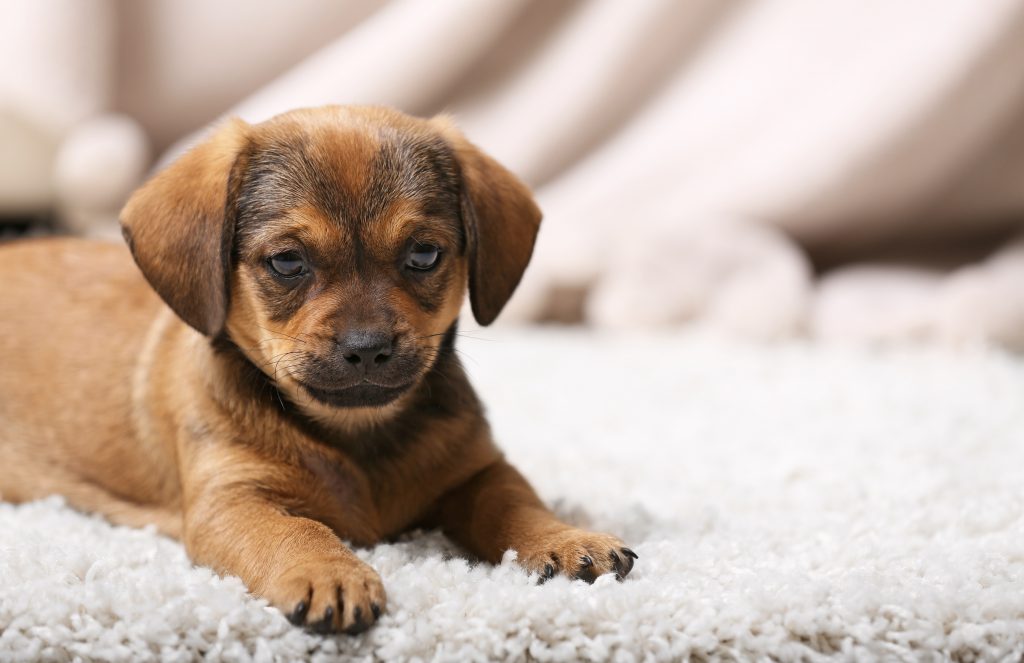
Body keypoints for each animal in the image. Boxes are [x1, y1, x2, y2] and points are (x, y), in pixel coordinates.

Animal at [0, 106, 634, 635]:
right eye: (287, 261)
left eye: (424, 254)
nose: (367, 347)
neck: (356, 437)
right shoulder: (232, 502)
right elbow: (295, 530)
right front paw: (329, 573)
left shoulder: (476, 469)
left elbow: (514, 501)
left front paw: (565, 537)